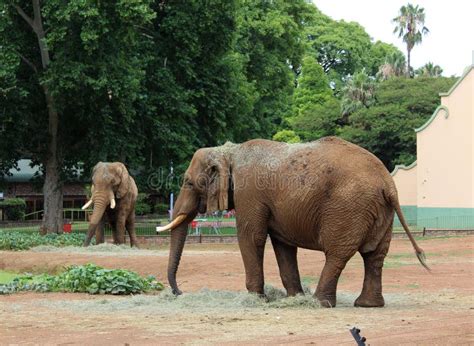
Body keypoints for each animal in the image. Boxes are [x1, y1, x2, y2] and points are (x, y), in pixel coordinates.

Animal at [157, 137, 428, 306]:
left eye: (188, 182)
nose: (179, 292)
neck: (229, 151)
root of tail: (387, 181)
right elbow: (282, 245)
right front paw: (292, 297)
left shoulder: (250, 192)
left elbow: (251, 237)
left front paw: (257, 299)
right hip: (380, 211)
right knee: (374, 256)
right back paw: (366, 305)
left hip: (349, 207)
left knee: (338, 253)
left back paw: (319, 303)